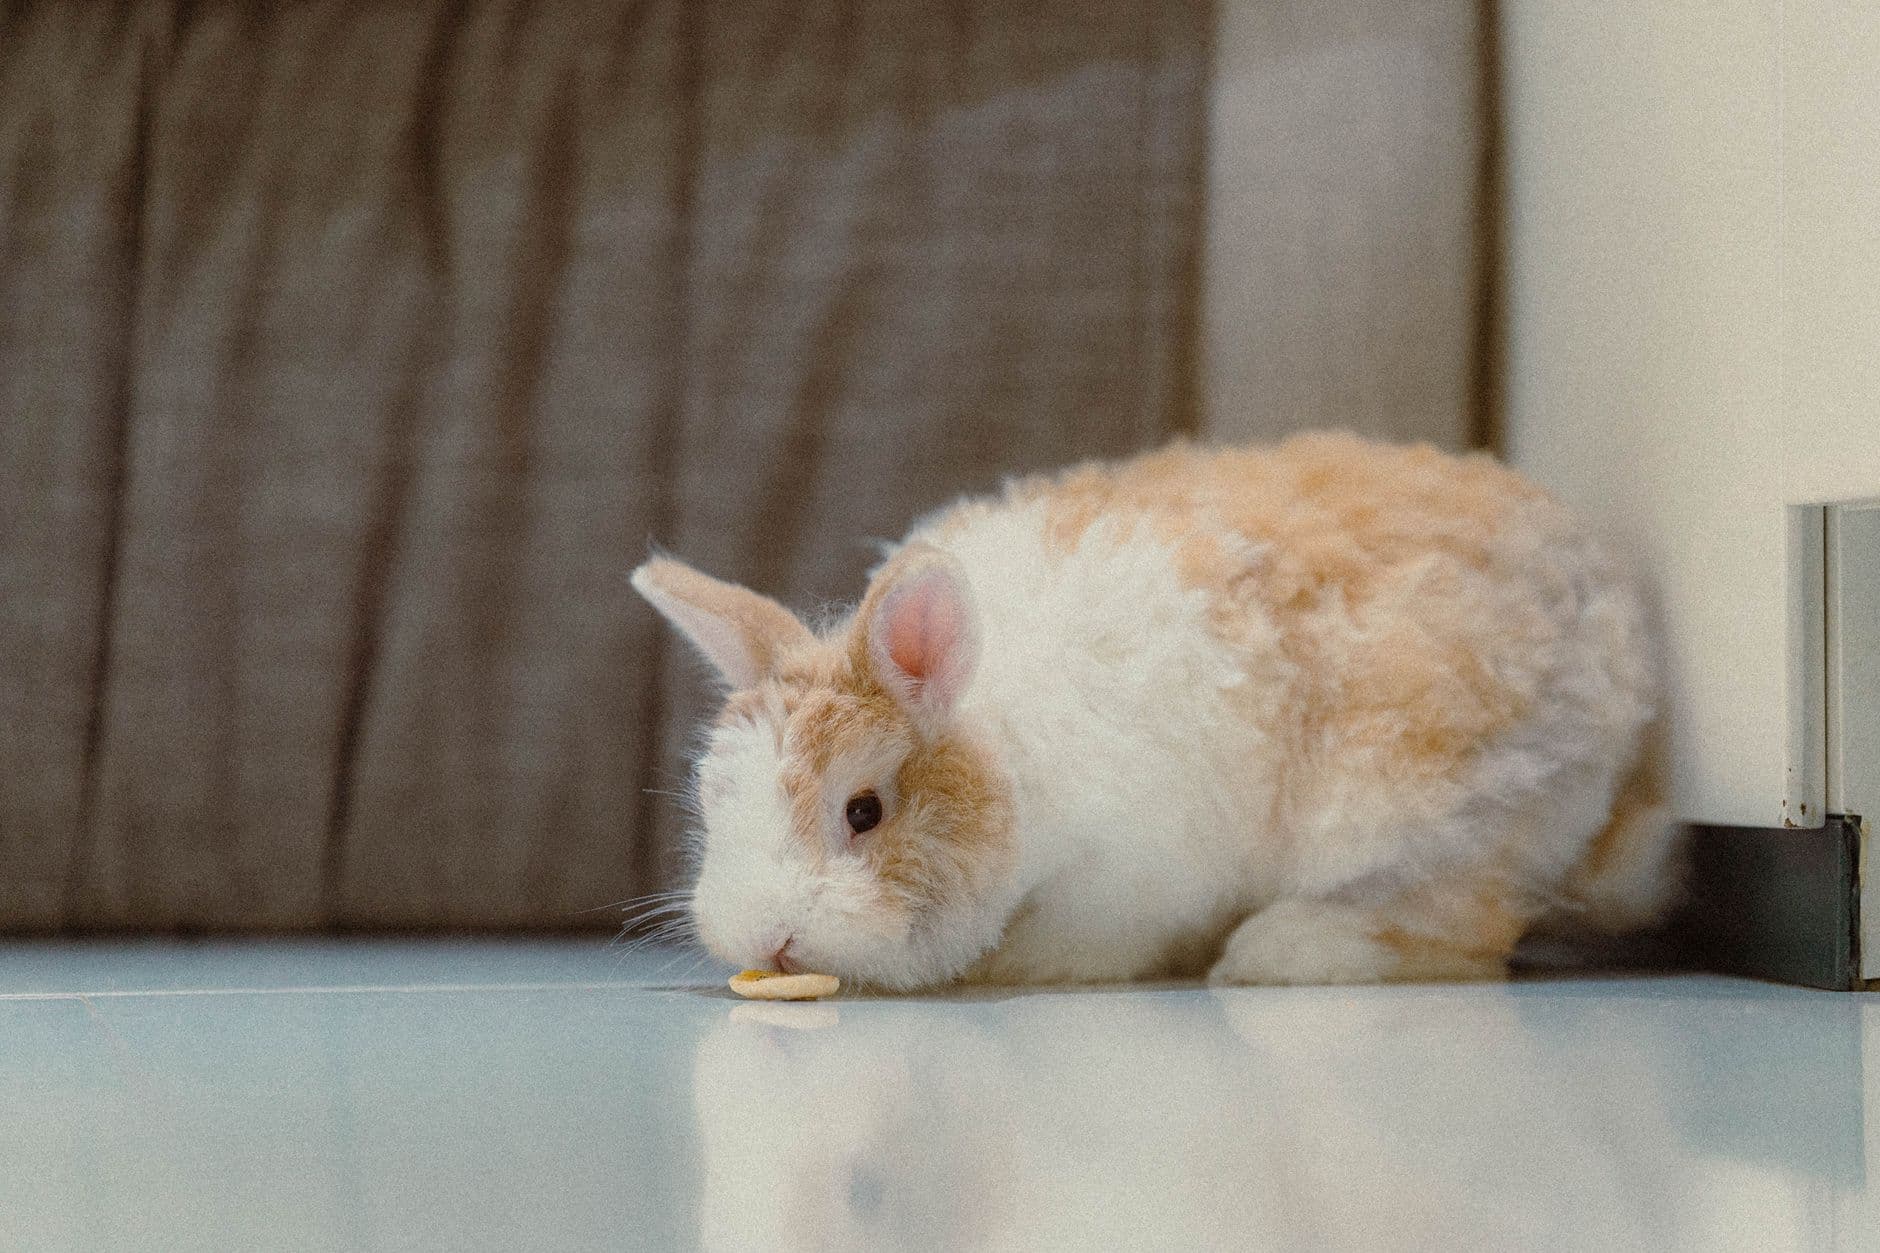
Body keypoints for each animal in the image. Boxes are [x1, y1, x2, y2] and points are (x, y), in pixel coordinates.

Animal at [631, 432, 1680, 990]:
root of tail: (1622, 647)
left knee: (1468, 922)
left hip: (1426, 805)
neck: (1010, 753)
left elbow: (1097, 936)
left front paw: (1017, 966)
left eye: (863, 811)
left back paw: (1275, 953)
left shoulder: (1135, 871)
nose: (762, 937)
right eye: (714, 804)